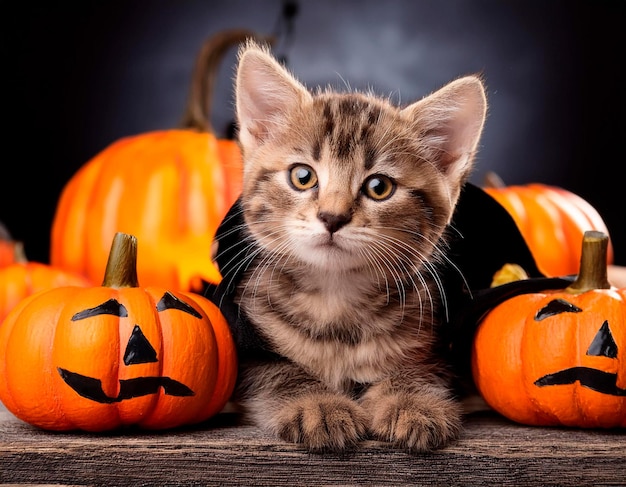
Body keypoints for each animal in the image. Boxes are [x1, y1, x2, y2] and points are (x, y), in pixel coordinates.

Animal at [212, 41, 486, 454]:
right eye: (302, 176)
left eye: (379, 187)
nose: (332, 216)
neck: (335, 300)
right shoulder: (250, 351)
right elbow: (279, 372)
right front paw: (318, 406)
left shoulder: (434, 348)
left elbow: (417, 371)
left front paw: (412, 402)